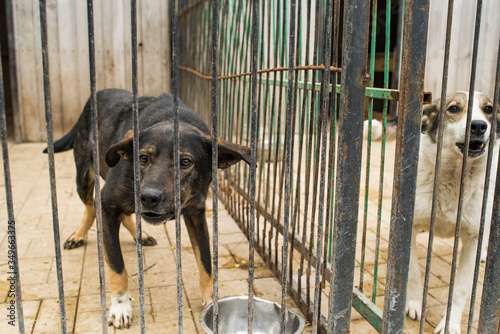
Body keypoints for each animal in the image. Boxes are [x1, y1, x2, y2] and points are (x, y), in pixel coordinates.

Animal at [49, 88, 250, 328]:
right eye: (143, 158)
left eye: (185, 162)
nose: (148, 197)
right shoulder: (108, 205)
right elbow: (117, 266)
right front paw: (120, 306)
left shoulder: (196, 214)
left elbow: (206, 263)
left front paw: (212, 303)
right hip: (84, 176)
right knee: (90, 206)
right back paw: (78, 235)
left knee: (124, 214)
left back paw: (141, 235)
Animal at [366, 91, 498, 334]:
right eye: (454, 108)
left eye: (489, 109)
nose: (478, 125)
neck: (455, 176)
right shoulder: (408, 227)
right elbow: (413, 273)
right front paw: (414, 303)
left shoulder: (473, 238)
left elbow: (461, 288)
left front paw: (450, 323)